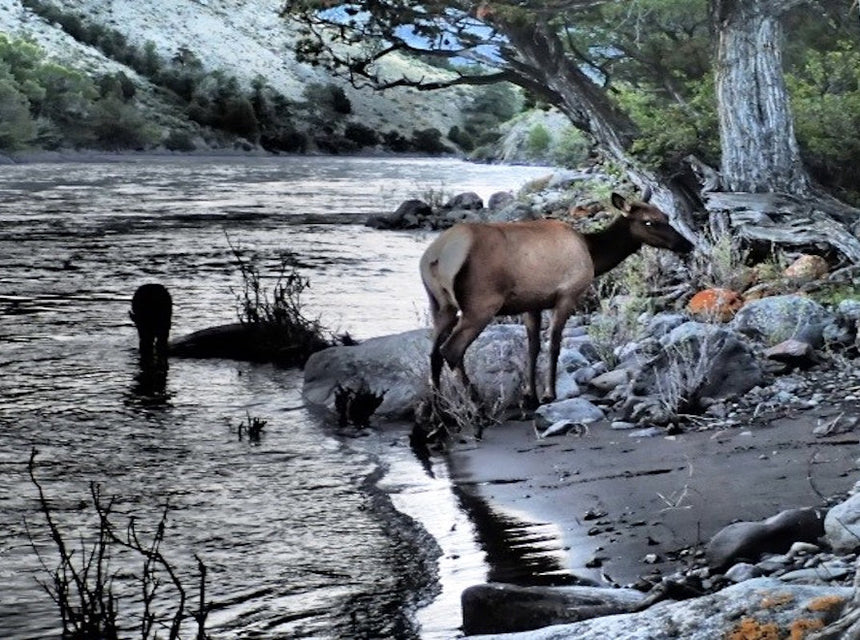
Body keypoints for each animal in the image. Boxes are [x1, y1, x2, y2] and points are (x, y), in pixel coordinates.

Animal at [419, 191, 694, 409]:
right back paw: (477, 406)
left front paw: (530, 395)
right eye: (649, 222)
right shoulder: (567, 295)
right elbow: (554, 345)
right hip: (480, 304)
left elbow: (532, 347)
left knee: (433, 352)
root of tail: (437, 255)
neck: (593, 254)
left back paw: (437, 408)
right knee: (451, 350)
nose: (687, 244)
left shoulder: (531, 304)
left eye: (666, 217)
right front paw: (549, 394)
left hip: (439, 304)